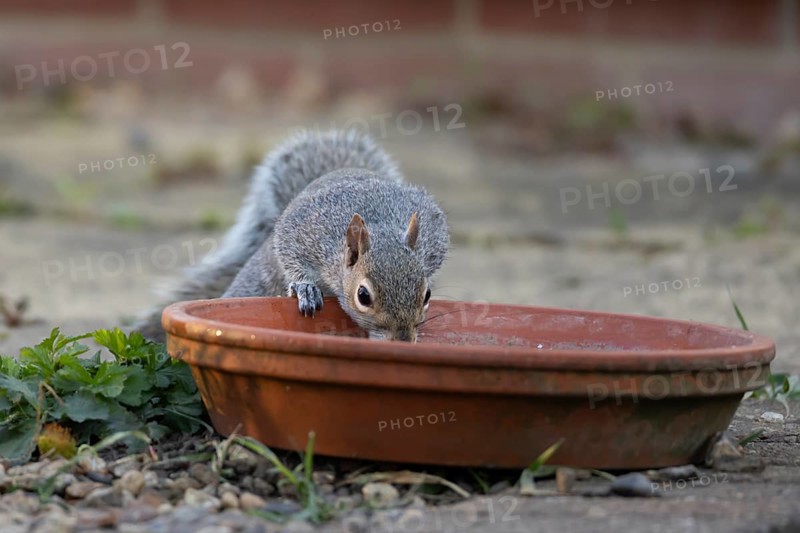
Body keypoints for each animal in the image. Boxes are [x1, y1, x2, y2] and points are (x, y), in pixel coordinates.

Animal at [134, 129, 449, 343]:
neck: (380, 226)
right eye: (363, 296)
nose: (403, 340)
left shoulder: (434, 237)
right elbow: (291, 256)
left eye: (427, 295)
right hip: (256, 284)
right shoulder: (304, 230)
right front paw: (305, 289)